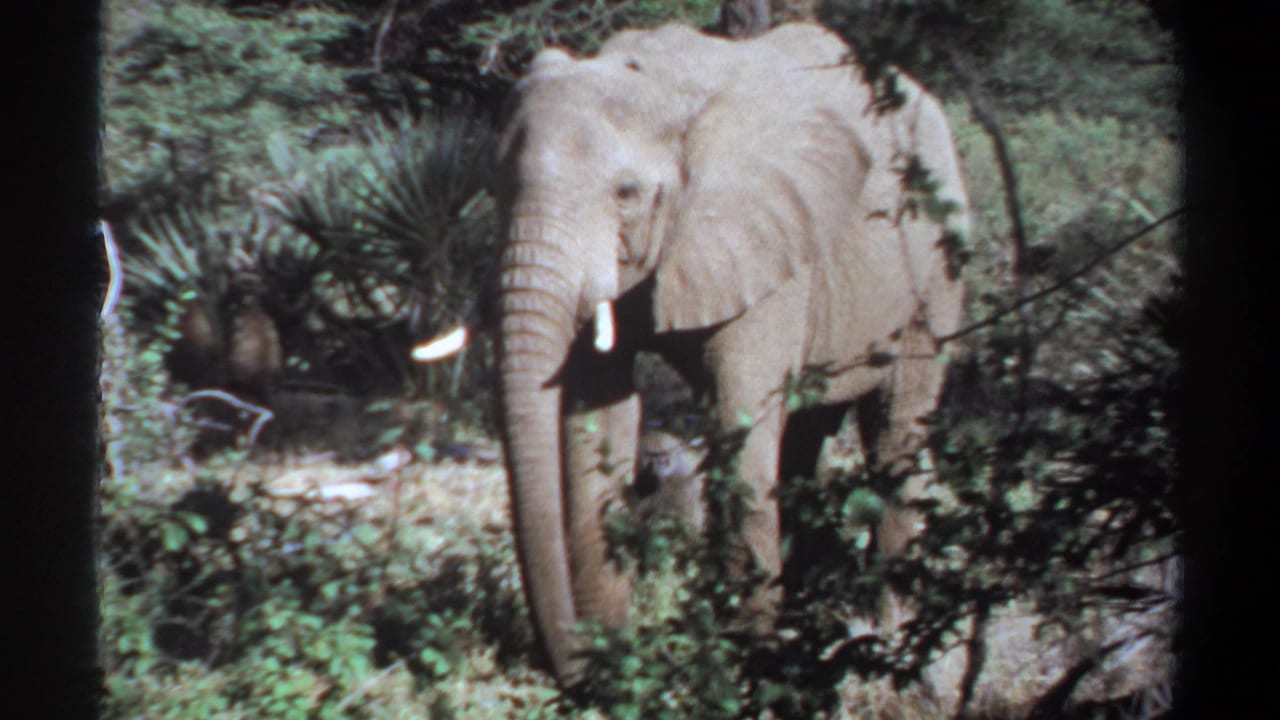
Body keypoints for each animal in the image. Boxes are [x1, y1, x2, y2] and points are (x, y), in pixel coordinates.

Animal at [492, 21, 969, 685]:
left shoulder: (768, 239)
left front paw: (748, 671)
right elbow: (599, 418)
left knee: (896, 427)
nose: (574, 671)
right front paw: (620, 665)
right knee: (805, 434)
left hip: (936, 267)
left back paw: (892, 632)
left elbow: (740, 423)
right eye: (496, 185)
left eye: (626, 193)